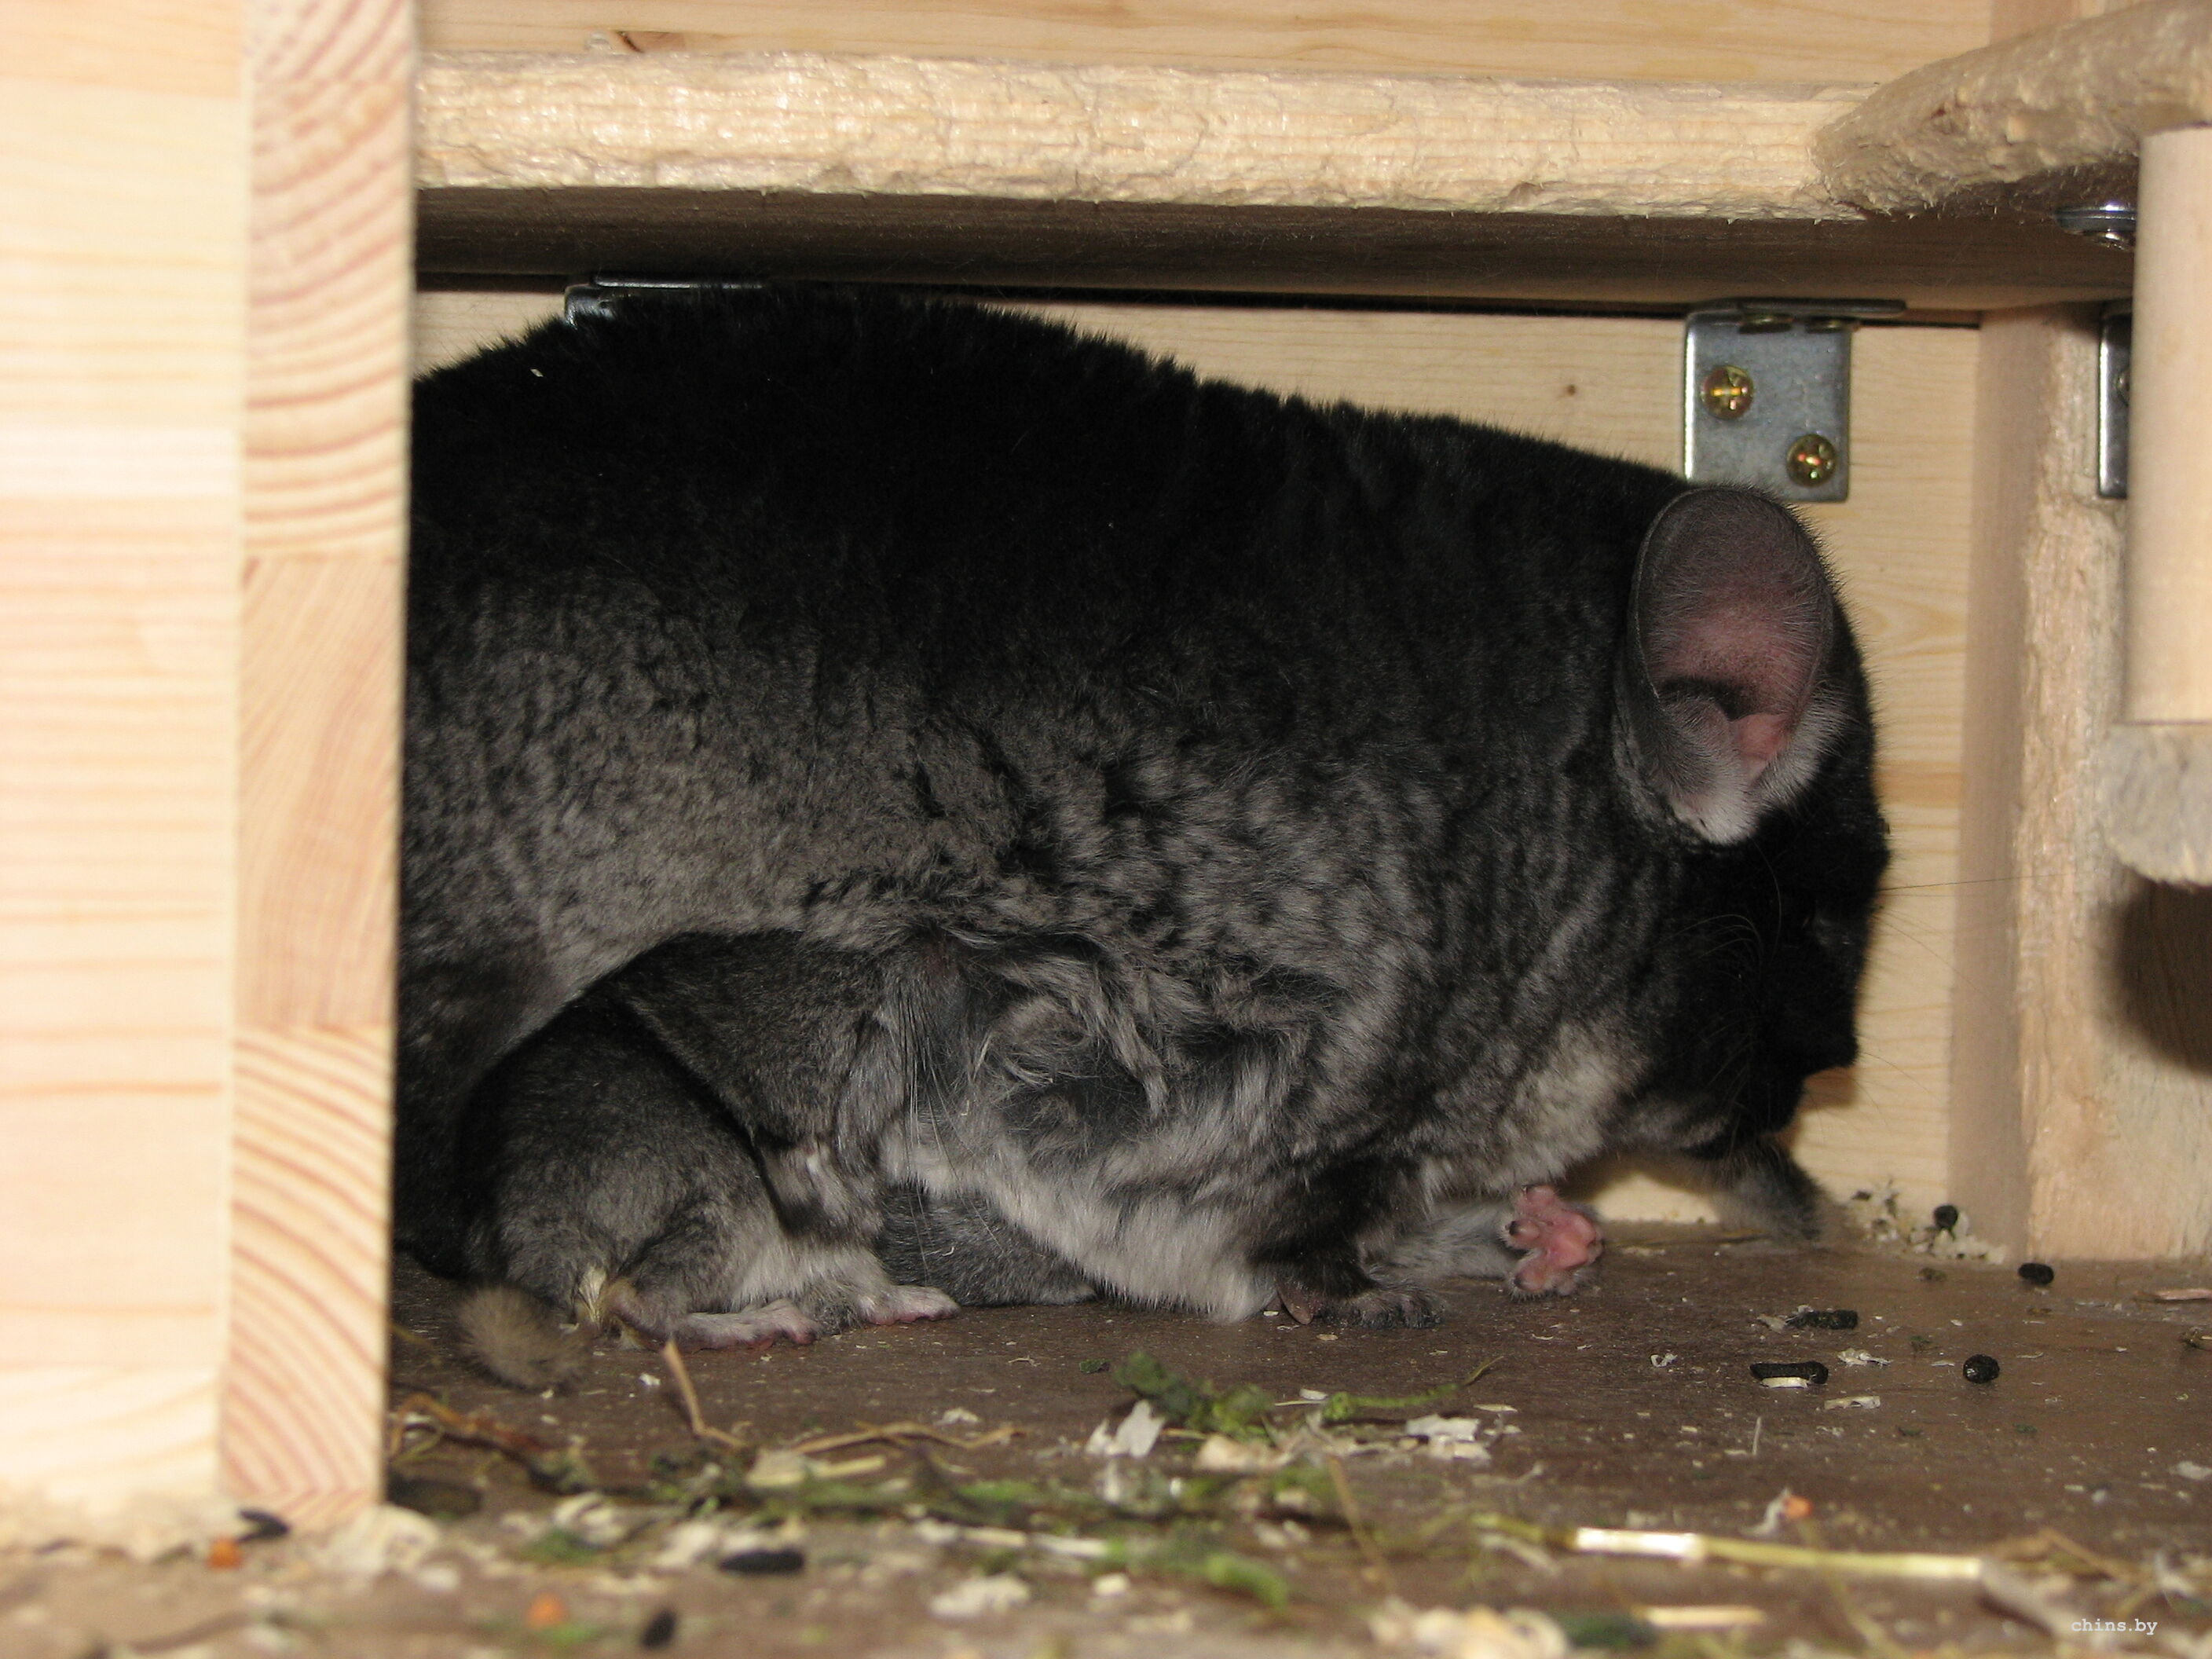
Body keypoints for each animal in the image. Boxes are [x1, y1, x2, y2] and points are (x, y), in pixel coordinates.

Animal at [402, 285, 1888, 1378]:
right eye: (1820, 919)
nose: (1834, 1071)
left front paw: (1547, 1236)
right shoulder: (1261, 1079)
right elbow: (1298, 1240)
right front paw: (1378, 1294)